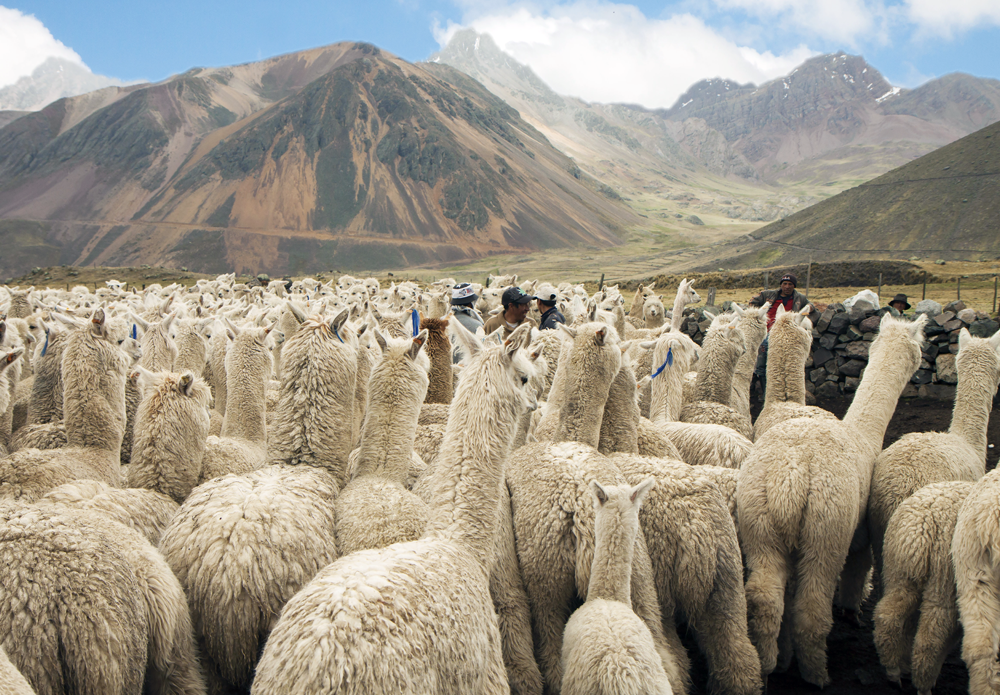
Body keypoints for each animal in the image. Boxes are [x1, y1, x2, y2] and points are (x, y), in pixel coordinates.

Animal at [738, 314, 927, 687]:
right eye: (921, 346)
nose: (921, 363)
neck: (862, 436)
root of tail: (791, 476)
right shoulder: (860, 531)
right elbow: (859, 566)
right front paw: (852, 610)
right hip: (826, 530)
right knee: (811, 607)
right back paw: (817, 675)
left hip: (760, 522)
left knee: (766, 598)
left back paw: (768, 667)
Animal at [874, 481, 973, 695]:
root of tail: (920, 531)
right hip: (944, 584)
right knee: (932, 637)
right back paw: (924, 684)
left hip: (899, 572)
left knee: (887, 615)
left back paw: (893, 670)